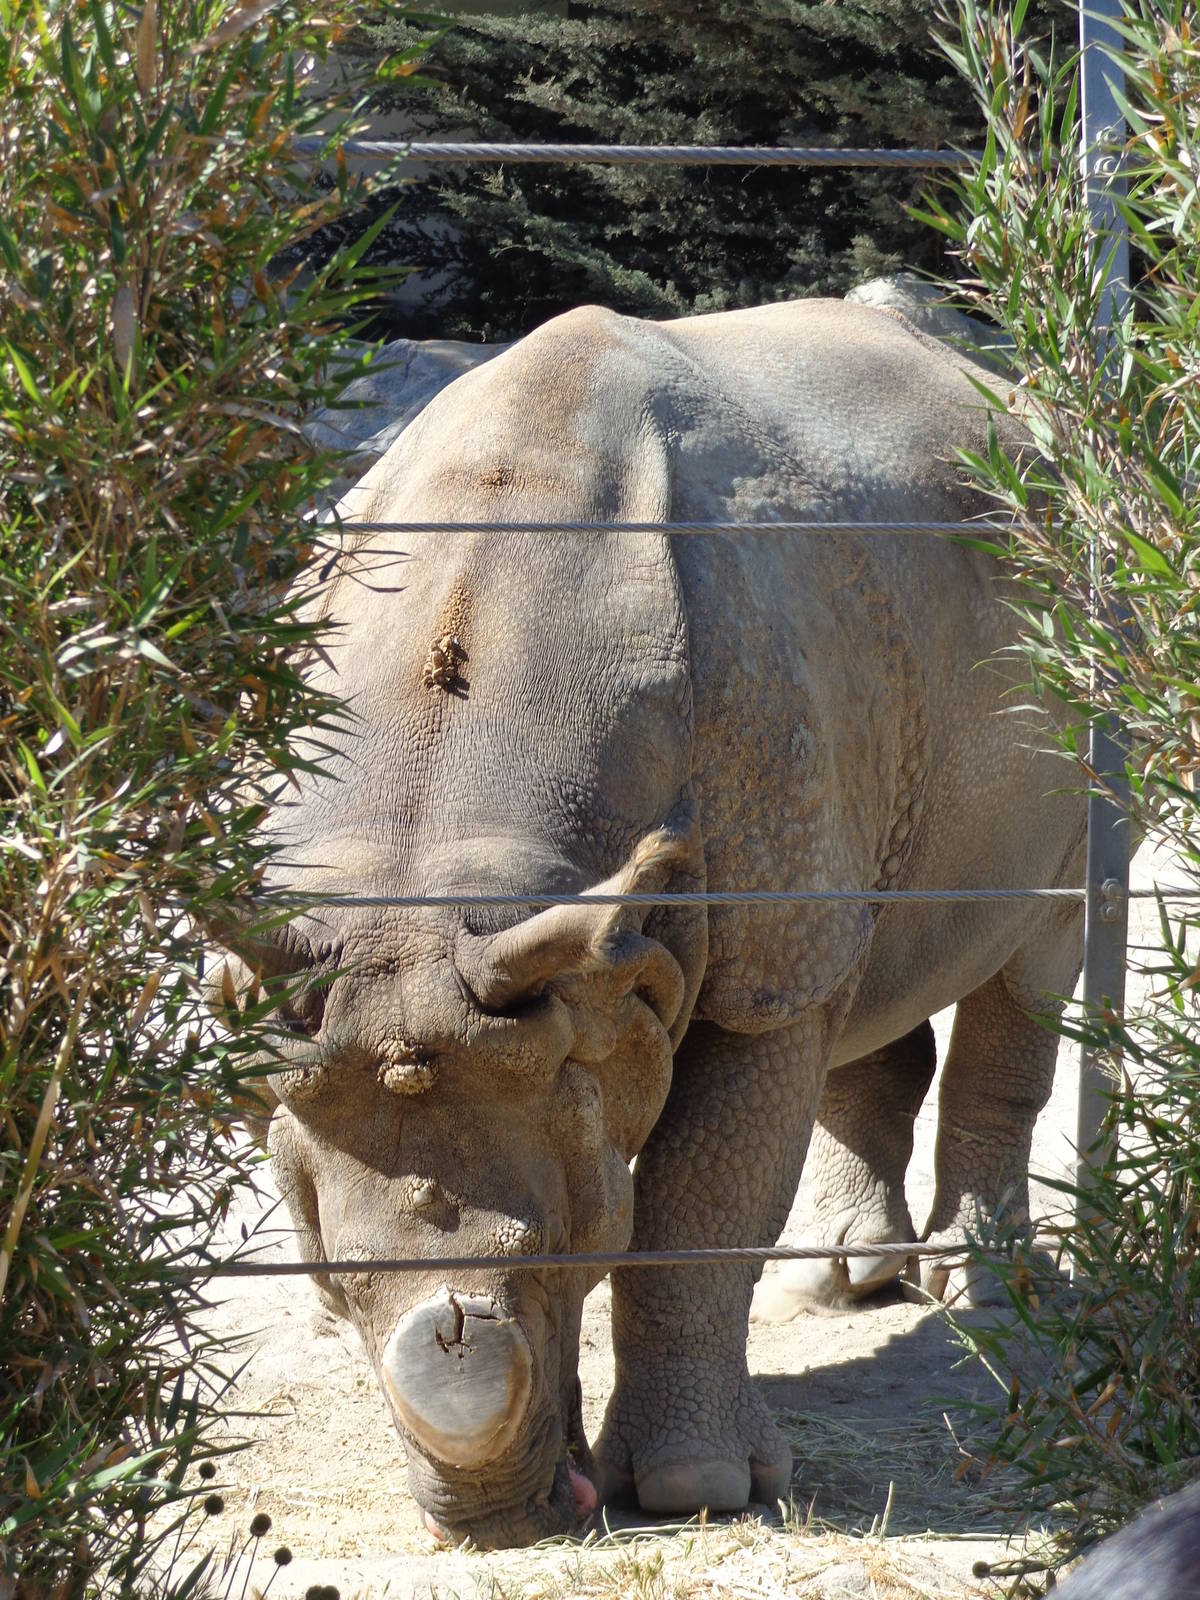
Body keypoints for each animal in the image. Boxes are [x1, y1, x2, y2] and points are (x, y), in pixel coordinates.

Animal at [213, 299, 1085, 1547]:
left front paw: (697, 1489)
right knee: (858, 967)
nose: (493, 1524)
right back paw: (845, 1283)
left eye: (578, 1240)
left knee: (1042, 934)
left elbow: (702, 1201)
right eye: (332, 1272)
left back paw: (984, 1299)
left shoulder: (726, 952)